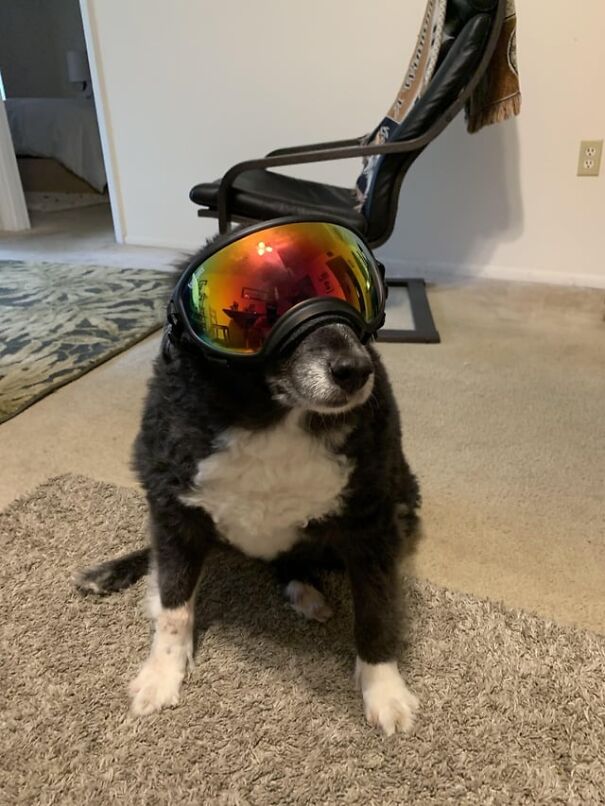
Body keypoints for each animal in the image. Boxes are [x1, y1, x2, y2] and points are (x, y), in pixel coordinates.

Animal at [75, 241, 420, 740]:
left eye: (355, 296)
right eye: (267, 307)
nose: (355, 369)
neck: (272, 415)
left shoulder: (372, 524)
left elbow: (376, 613)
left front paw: (384, 690)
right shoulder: (174, 511)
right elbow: (175, 606)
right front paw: (162, 674)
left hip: (402, 506)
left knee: (294, 560)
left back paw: (304, 591)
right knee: (159, 557)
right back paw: (109, 574)